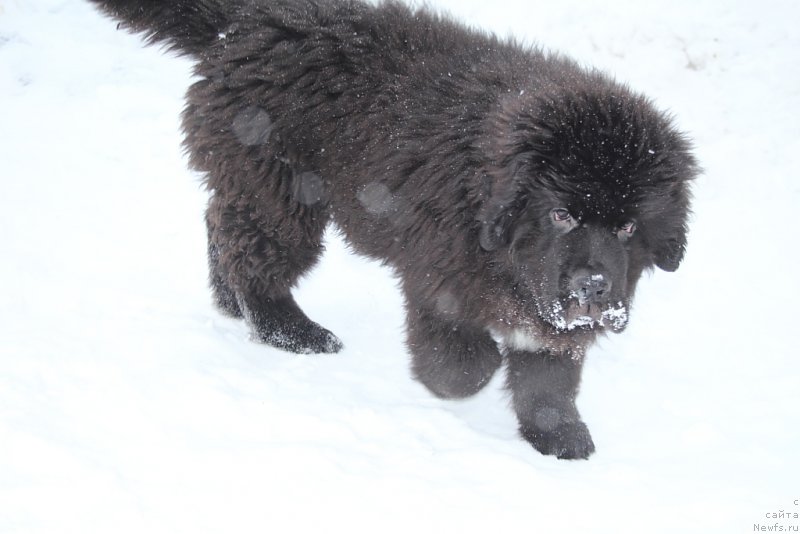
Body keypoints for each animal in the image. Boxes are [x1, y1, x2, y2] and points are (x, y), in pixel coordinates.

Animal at [90, 0, 696, 460]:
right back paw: (291, 331)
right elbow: (463, 366)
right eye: (562, 214)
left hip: (252, 182)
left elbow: (548, 376)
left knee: (225, 229)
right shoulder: (440, 275)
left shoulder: (550, 310)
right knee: (257, 256)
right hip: (280, 191)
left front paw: (558, 435)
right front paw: (469, 375)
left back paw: (230, 303)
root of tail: (251, 21)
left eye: (628, 226)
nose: (593, 286)